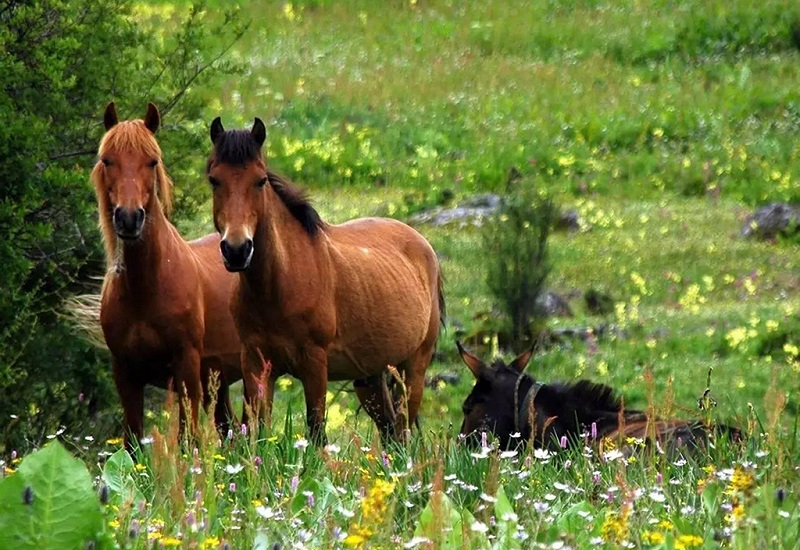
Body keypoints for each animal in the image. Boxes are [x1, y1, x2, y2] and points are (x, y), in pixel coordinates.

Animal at [90, 103, 241, 452]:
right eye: (107, 160)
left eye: (152, 161)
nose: (129, 218)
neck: (144, 290)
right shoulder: (126, 374)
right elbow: (132, 444)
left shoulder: (186, 368)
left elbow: (188, 441)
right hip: (221, 381)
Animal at [205, 118, 444, 446]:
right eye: (214, 180)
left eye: (260, 180)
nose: (237, 249)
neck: (277, 285)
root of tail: (424, 247)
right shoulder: (254, 362)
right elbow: (258, 430)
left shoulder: (314, 364)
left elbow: (316, 430)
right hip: (370, 376)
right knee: (390, 434)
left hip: (413, 368)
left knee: (402, 429)